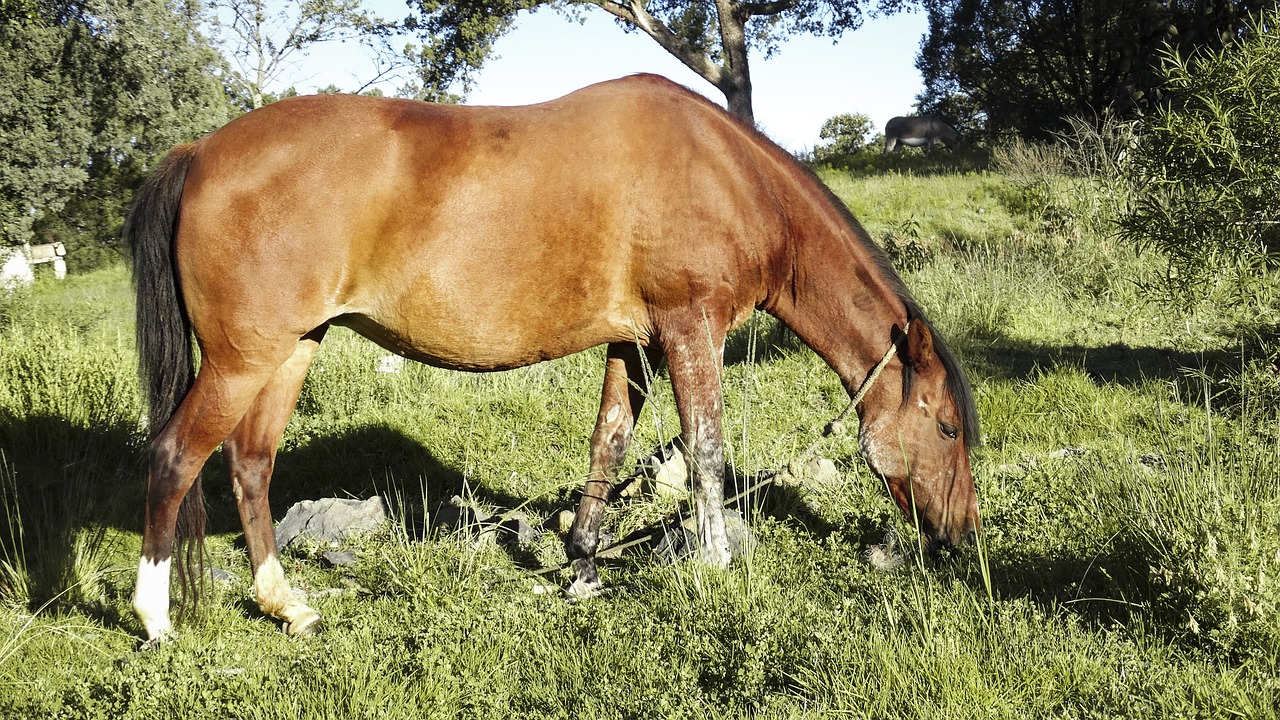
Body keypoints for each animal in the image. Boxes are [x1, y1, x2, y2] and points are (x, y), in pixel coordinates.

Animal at [125, 74, 981, 643]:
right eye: (945, 428)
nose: (963, 536)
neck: (726, 176)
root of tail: (201, 151)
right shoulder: (689, 327)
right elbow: (706, 449)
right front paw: (713, 567)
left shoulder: (633, 341)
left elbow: (607, 444)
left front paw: (584, 569)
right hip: (242, 359)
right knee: (173, 457)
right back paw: (155, 619)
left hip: (291, 350)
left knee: (250, 464)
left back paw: (286, 604)